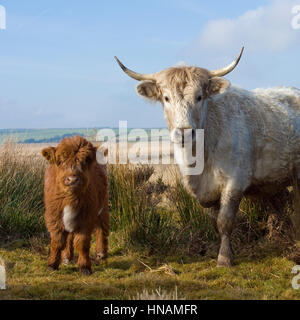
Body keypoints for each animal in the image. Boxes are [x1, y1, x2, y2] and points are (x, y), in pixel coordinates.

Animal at [41, 136, 108, 274]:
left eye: (86, 160)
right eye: (59, 161)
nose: (72, 179)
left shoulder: (86, 217)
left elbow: (82, 243)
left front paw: (84, 267)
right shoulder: (54, 216)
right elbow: (57, 242)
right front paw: (52, 264)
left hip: (103, 206)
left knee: (102, 227)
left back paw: (101, 253)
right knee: (69, 236)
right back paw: (67, 257)